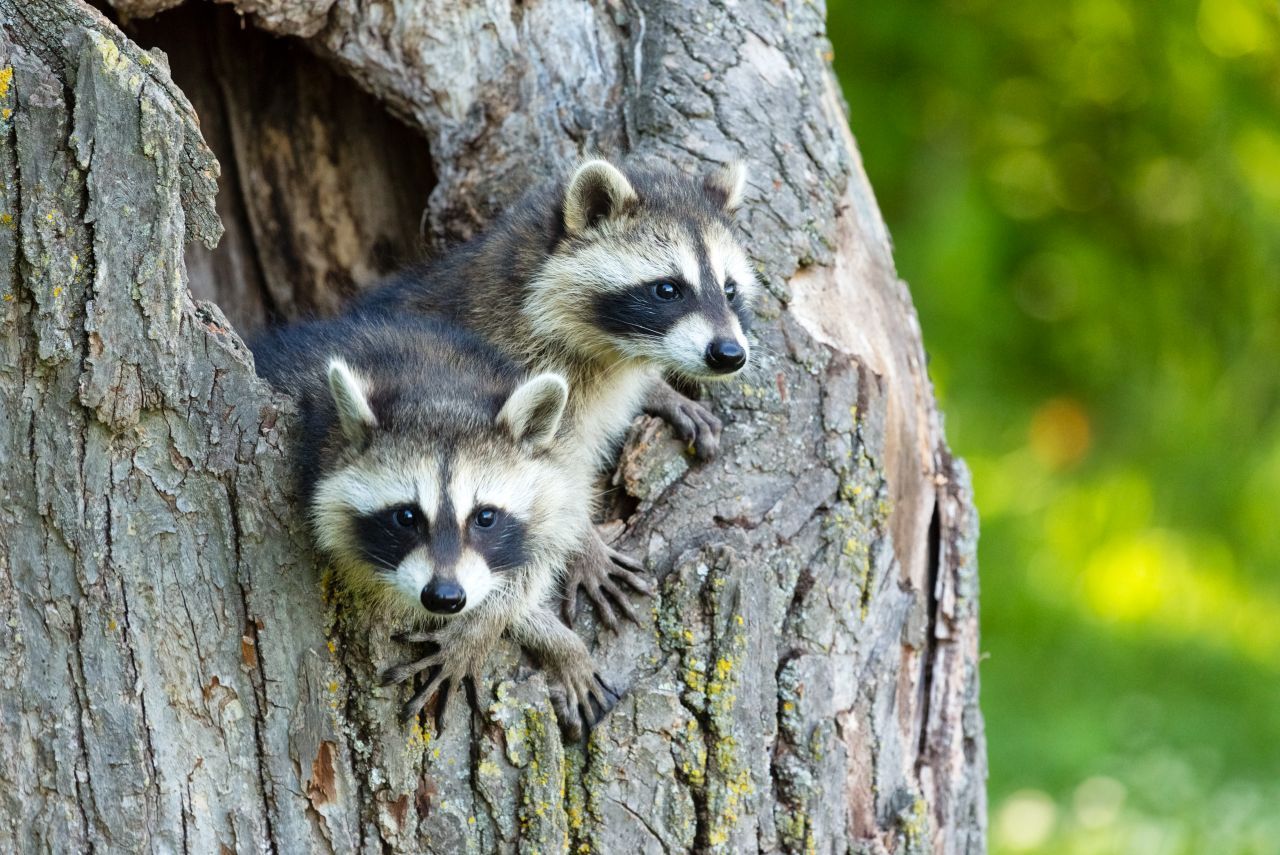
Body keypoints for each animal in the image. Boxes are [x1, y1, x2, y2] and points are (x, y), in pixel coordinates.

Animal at [250, 317, 619, 732]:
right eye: (406, 516)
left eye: (485, 517)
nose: (444, 597)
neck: (438, 384)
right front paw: (544, 633)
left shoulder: (561, 464)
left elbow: (551, 542)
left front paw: (482, 630)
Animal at [355, 156, 752, 624]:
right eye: (668, 289)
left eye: (730, 289)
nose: (729, 353)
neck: (608, 349)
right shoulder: (511, 376)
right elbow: (552, 483)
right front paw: (584, 545)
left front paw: (659, 391)